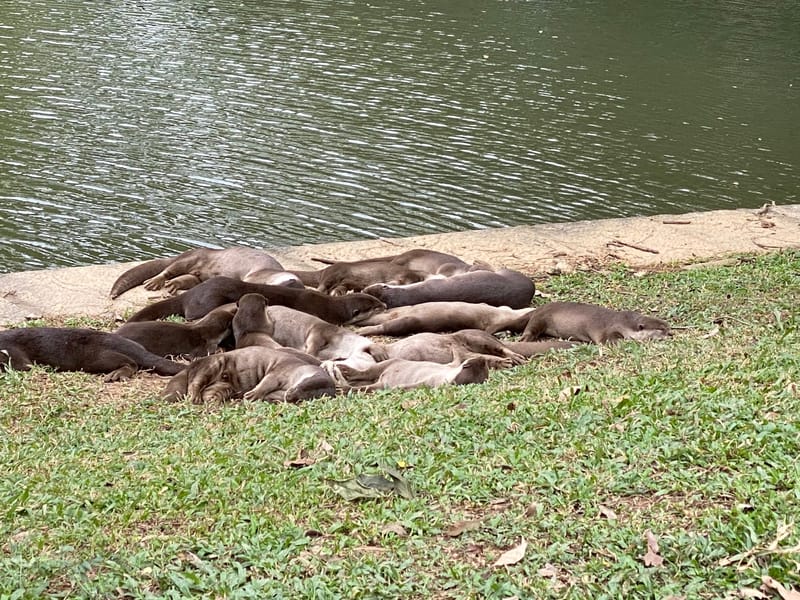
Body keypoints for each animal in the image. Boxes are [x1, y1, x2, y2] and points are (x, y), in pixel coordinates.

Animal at [110, 246, 295, 298]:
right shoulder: (255, 276)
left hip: (198, 274)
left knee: (189, 278)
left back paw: (173, 286)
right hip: (192, 259)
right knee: (169, 269)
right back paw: (155, 282)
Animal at [163, 346, 335, 404]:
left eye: (305, 397)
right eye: (305, 385)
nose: (291, 395)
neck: (296, 370)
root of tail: (192, 365)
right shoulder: (282, 370)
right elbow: (268, 381)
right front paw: (252, 394)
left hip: (224, 385)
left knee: (212, 390)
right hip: (213, 363)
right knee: (196, 381)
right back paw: (195, 397)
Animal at [520, 302, 671, 344]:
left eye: (667, 326)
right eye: (661, 329)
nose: (671, 334)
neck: (626, 323)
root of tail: (539, 308)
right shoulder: (611, 328)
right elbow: (606, 339)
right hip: (541, 317)